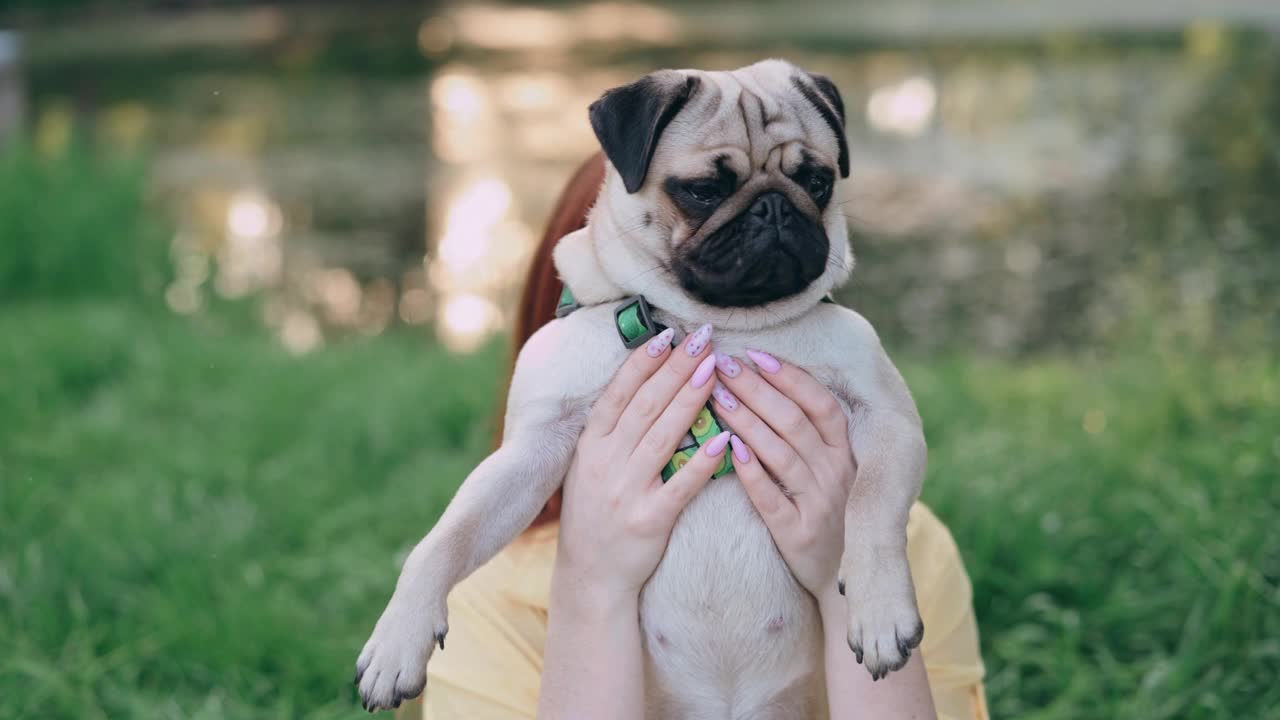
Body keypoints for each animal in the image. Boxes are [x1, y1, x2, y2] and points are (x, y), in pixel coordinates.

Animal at [355, 58, 926, 712]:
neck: (716, 324)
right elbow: (447, 537)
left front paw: (880, 609)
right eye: (703, 190)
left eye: (817, 179)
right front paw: (398, 638)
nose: (775, 208)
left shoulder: (888, 419)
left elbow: (871, 504)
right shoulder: (530, 451)